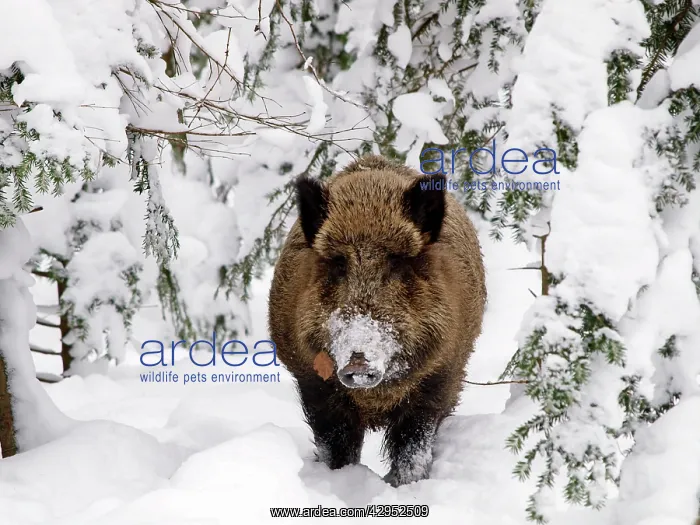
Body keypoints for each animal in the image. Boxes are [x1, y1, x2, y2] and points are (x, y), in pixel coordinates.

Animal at [268, 155, 486, 486]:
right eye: (338, 264)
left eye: (396, 262)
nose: (358, 362)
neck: (375, 398)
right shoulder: (312, 383)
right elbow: (336, 448)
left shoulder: (441, 376)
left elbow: (413, 446)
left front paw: (404, 485)